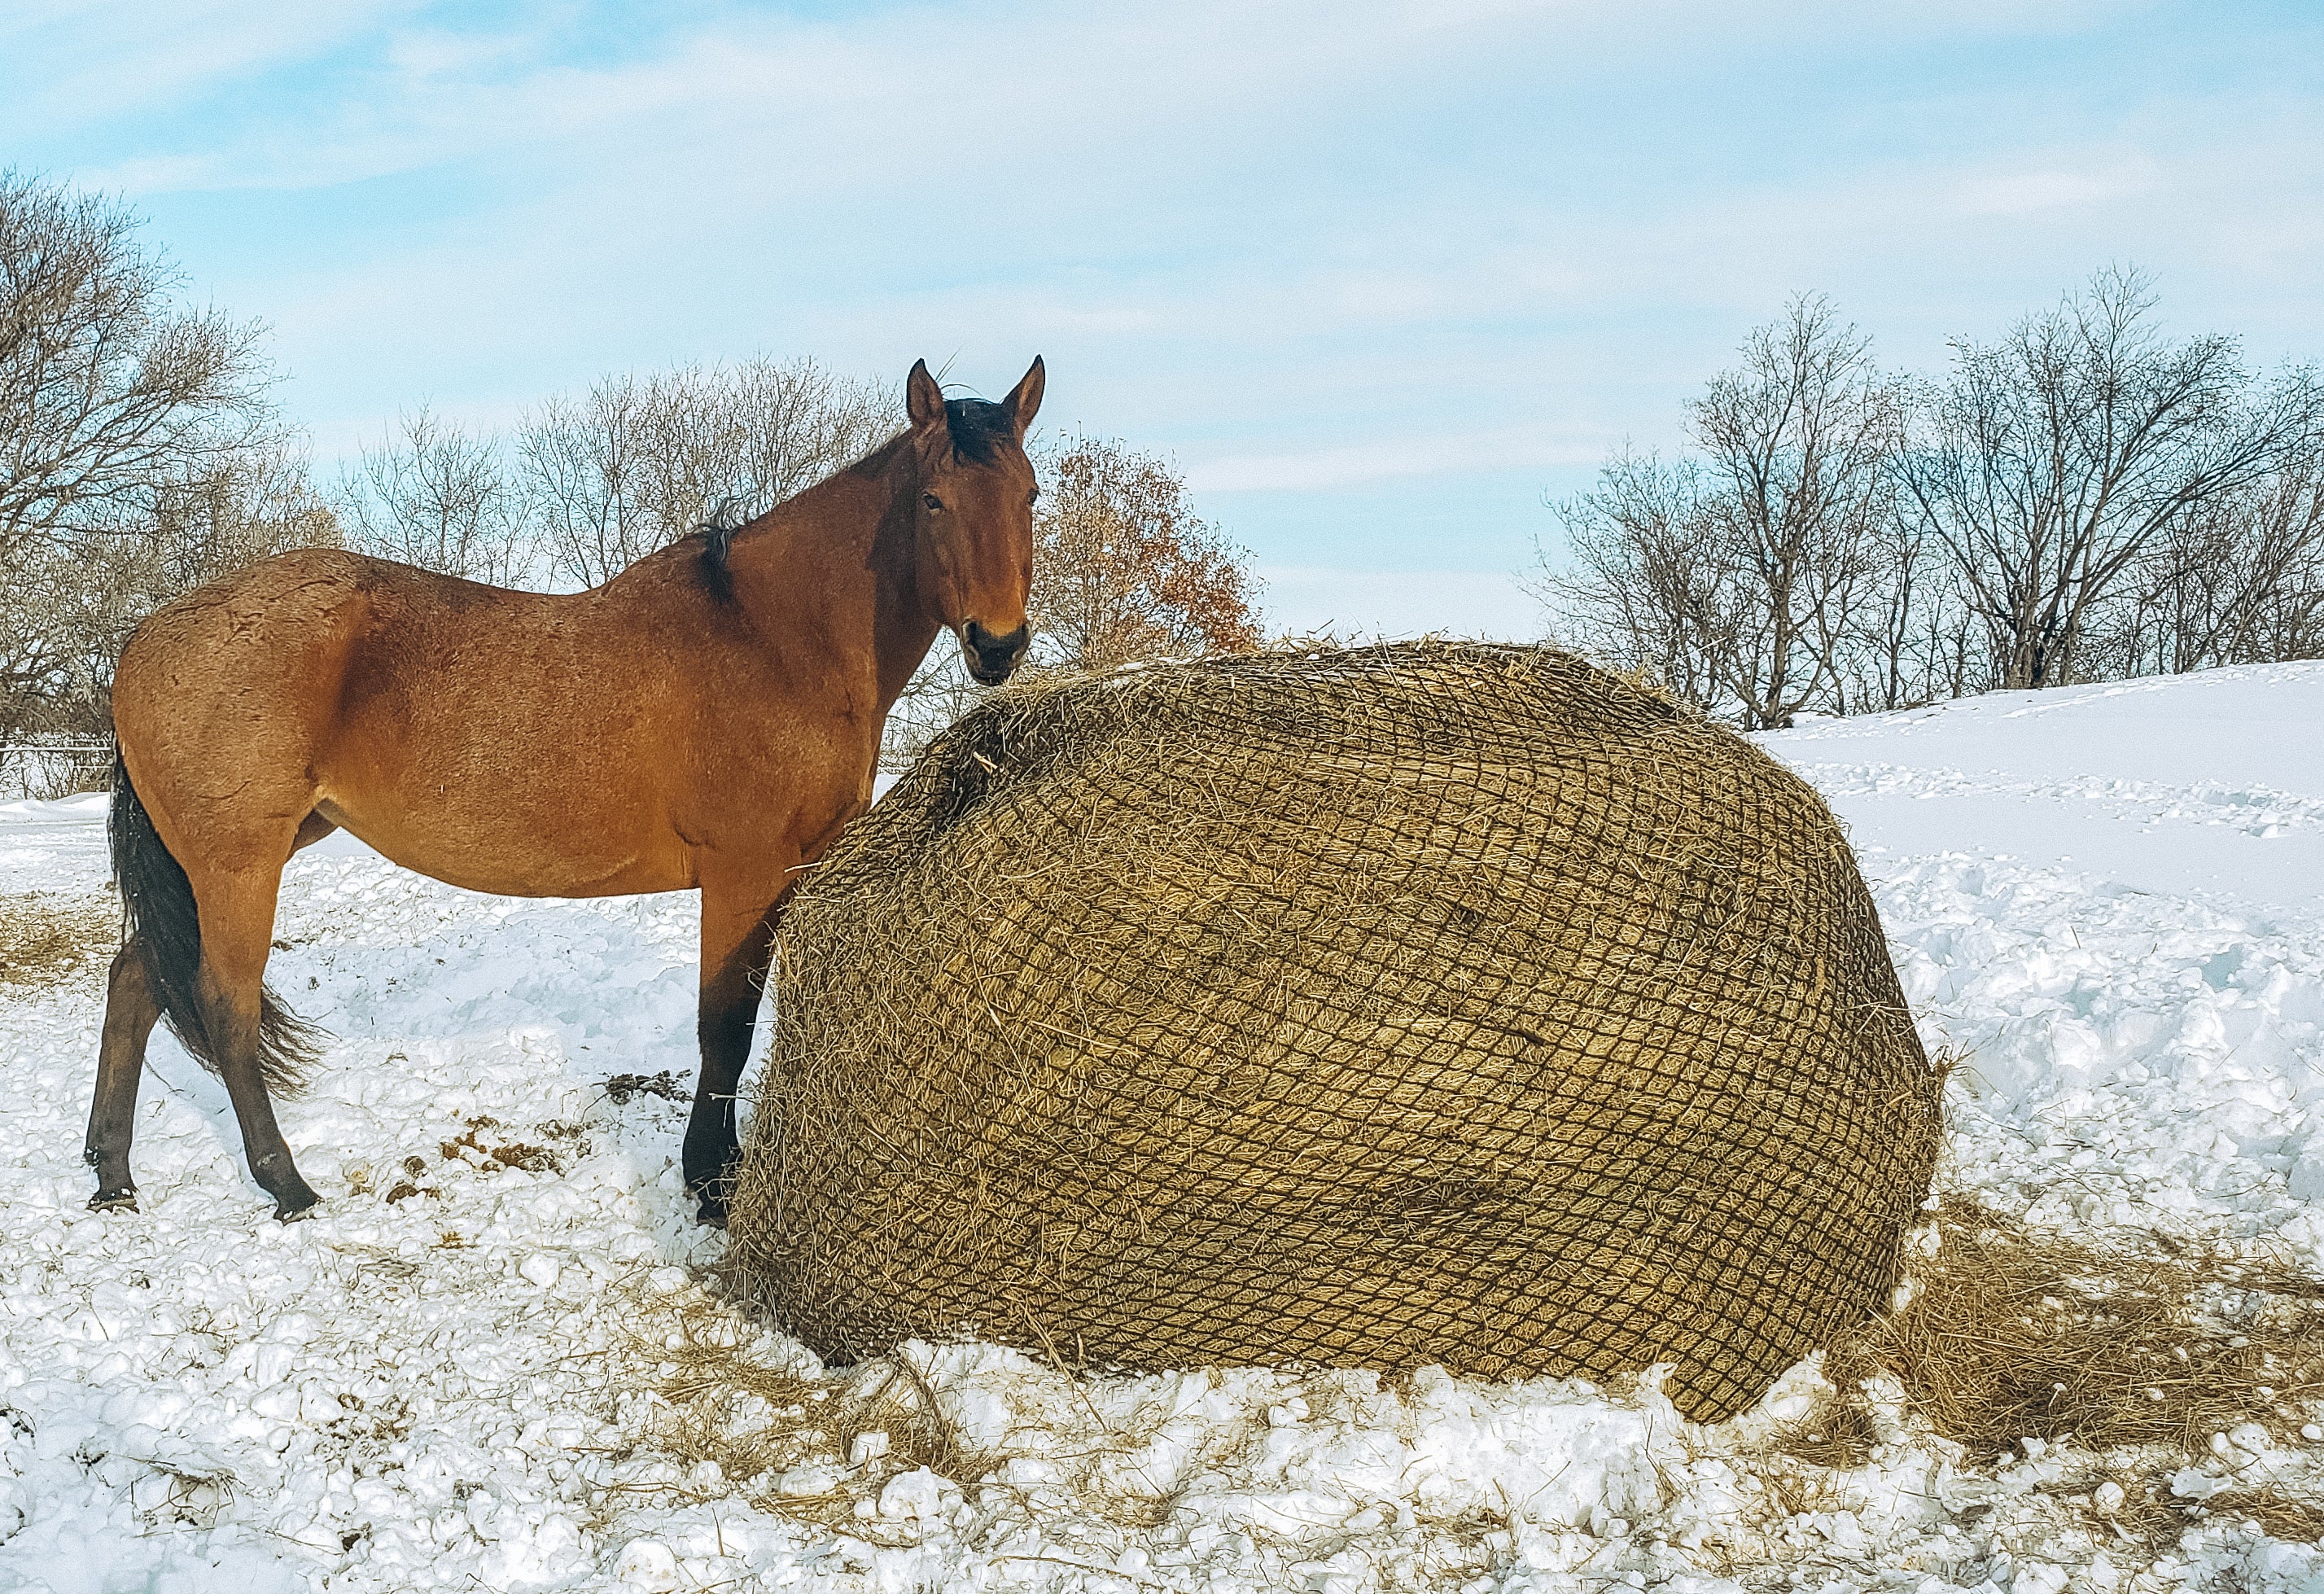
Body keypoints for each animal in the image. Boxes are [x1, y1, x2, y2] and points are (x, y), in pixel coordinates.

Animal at [84, 360, 1045, 1227]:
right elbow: (725, 1028)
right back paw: (285, 1184)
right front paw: (708, 1185)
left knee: (135, 979)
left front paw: (722, 1171)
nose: (998, 645)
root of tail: (145, 638)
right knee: (224, 1004)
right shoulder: (743, 874)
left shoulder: (786, 874)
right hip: (238, 861)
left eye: (1030, 496)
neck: (771, 638)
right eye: (933, 501)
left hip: (231, 856)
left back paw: (113, 1175)